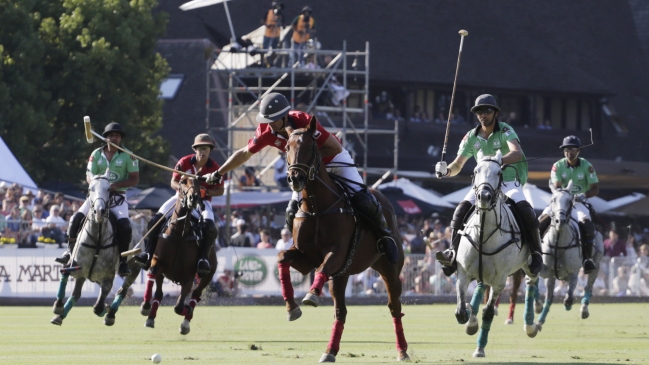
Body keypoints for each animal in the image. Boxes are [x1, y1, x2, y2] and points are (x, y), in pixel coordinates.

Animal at [51, 172, 135, 326]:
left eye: (109, 189)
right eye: (90, 189)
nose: (99, 211)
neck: (98, 239)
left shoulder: (108, 278)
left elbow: (98, 307)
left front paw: (107, 310)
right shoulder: (75, 267)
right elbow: (65, 273)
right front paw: (58, 307)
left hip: (134, 266)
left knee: (123, 289)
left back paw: (110, 314)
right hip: (84, 275)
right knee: (76, 293)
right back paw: (59, 315)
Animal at [138, 175, 216, 334]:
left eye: (199, 183)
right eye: (182, 182)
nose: (194, 197)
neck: (180, 233)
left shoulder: (189, 276)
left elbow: (179, 306)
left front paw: (187, 310)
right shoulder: (157, 262)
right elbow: (153, 279)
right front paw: (145, 307)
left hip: (208, 275)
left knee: (196, 295)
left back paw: (186, 322)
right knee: (159, 294)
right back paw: (150, 316)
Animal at [276, 117, 408, 362]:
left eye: (310, 146)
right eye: (287, 147)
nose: (295, 178)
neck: (317, 207)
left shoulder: (337, 252)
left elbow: (323, 266)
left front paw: (311, 295)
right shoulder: (306, 258)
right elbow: (282, 257)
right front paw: (292, 308)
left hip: (390, 269)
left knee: (394, 307)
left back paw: (402, 350)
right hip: (342, 275)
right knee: (341, 312)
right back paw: (329, 351)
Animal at [454, 150, 540, 356]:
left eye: (499, 173)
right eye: (476, 170)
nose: (484, 196)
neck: (484, 234)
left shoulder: (500, 279)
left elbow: (488, 312)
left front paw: (479, 348)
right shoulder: (463, 272)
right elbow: (461, 311)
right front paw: (470, 320)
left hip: (528, 264)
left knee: (531, 281)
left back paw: (530, 325)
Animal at [536, 178, 604, 322]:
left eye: (570, 201)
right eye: (552, 200)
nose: (559, 221)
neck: (558, 244)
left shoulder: (573, 272)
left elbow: (568, 298)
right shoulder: (545, 271)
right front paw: (537, 306)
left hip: (597, 262)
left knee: (588, 286)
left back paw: (584, 310)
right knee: (550, 296)